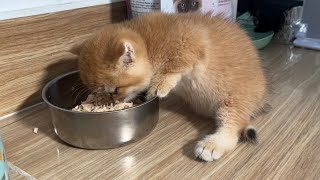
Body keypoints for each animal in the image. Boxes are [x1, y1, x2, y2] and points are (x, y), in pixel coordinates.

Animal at [71, 12, 266, 162]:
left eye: (115, 90)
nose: (115, 102)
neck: (148, 43)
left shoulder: (191, 42)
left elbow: (174, 64)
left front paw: (159, 83)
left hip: (233, 101)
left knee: (233, 128)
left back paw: (212, 144)